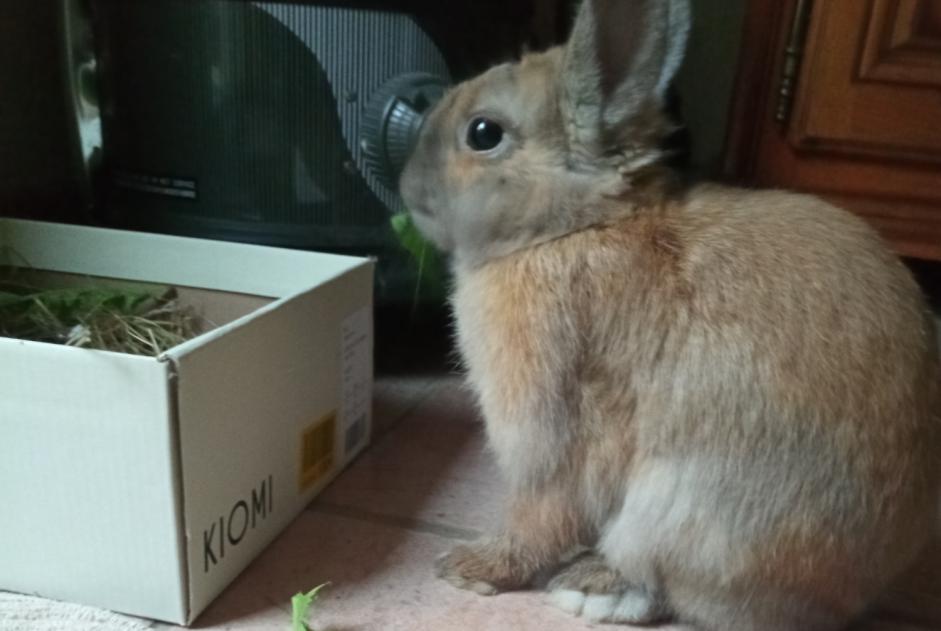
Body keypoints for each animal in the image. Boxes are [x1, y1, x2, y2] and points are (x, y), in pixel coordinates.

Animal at [394, 1, 940, 631]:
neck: (574, 227)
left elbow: (543, 513)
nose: (406, 185)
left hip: (674, 510)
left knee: (668, 588)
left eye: (483, 133)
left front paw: (470, 569)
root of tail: (848, 597)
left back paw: (590, 588)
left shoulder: (552, 432)